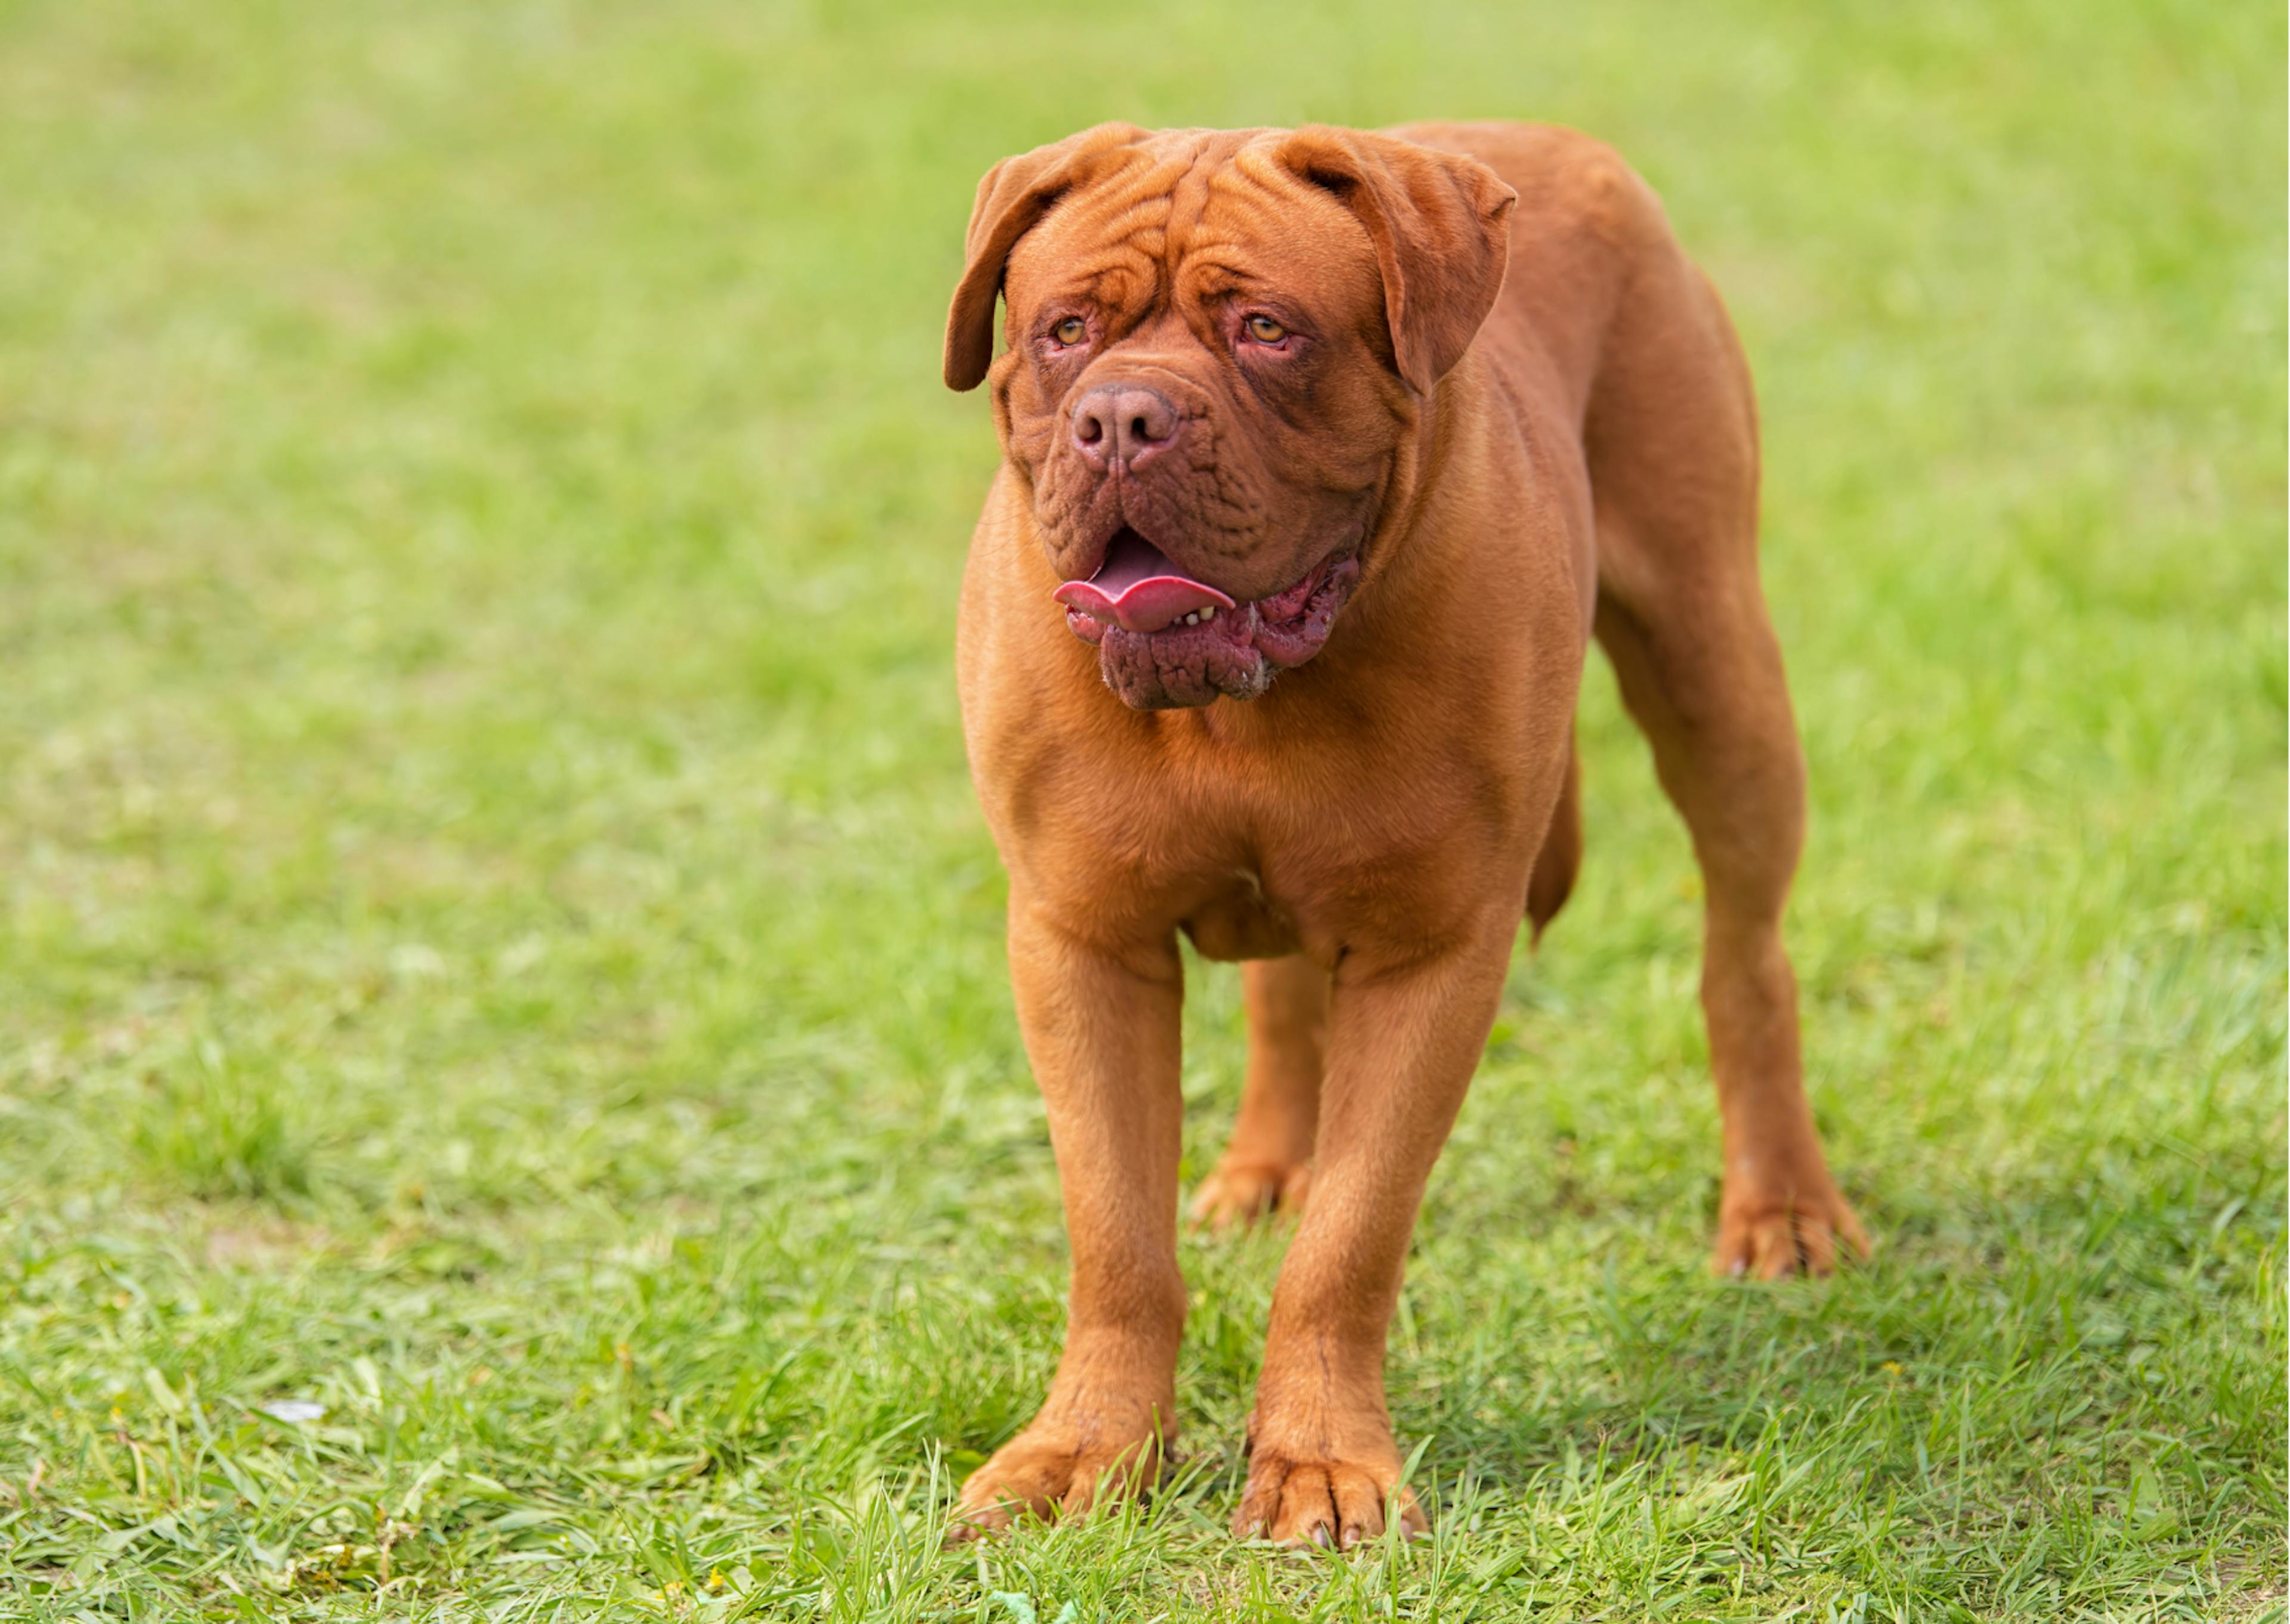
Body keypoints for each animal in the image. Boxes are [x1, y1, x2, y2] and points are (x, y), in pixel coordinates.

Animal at [939, 123, 1850, 1548]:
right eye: (1064, 329)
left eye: (1267, 330)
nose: (1123, 418)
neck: (1247, 708)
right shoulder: (1081, 944)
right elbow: (1118, 1232)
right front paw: (1082, 1450)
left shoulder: (1433, 953)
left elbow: (1352, 1238)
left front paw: (1318, 1463)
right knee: (1281, 997)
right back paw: (1267, 1167)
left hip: (1717, 673)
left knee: (1744, 956)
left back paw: (1784, 1208)